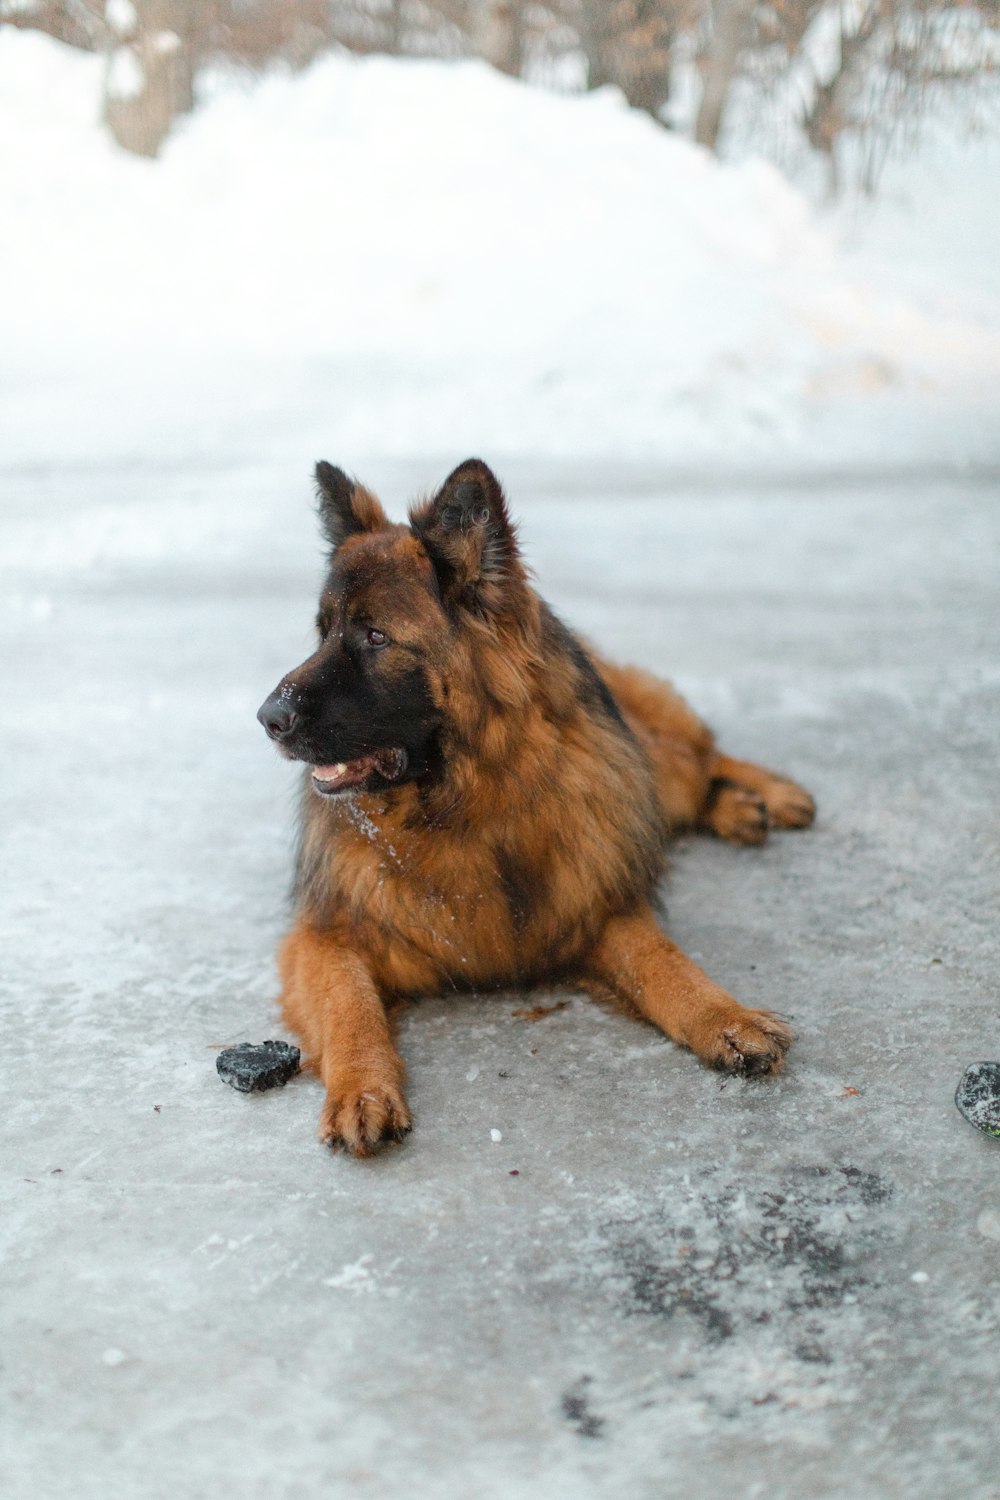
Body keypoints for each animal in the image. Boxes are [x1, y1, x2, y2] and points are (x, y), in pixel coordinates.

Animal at [256, 462, 815, 1152]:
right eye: (323, 631)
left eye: (375, 636)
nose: (267, 718)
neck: (461, 808)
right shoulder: (328, 935)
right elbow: (348, 1006)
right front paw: (362, 1088)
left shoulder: (594, 903)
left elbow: (665, 964)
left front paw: (729, 1019)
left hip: (651, 759)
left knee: (699, 758)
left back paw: (766, 797)